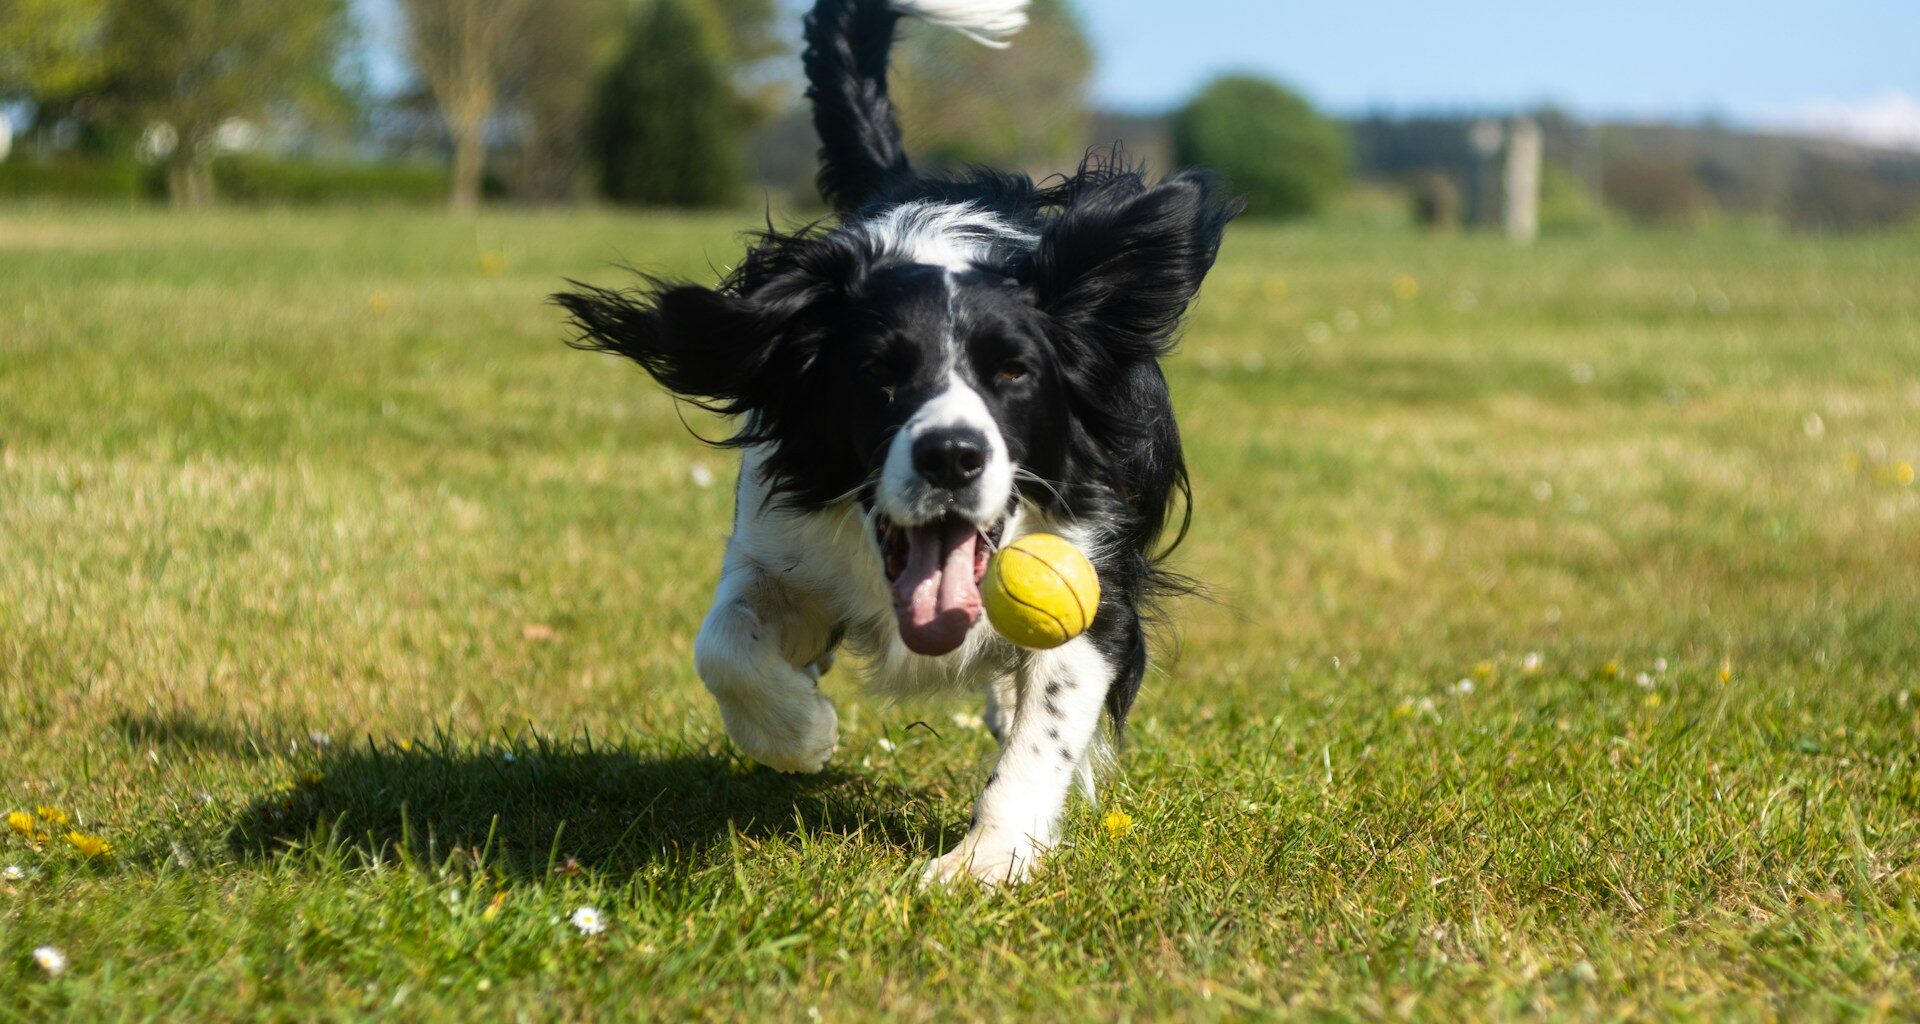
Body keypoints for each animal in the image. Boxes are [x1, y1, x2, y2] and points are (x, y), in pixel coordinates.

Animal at [556, 0, 1244, 879]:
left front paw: (985, 860)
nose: (951, 455)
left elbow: (1049, 726)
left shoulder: (1097, 573)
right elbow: (724, 645)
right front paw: (798, 731)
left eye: (1013, 372)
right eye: (878, 373)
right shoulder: (781, 539)